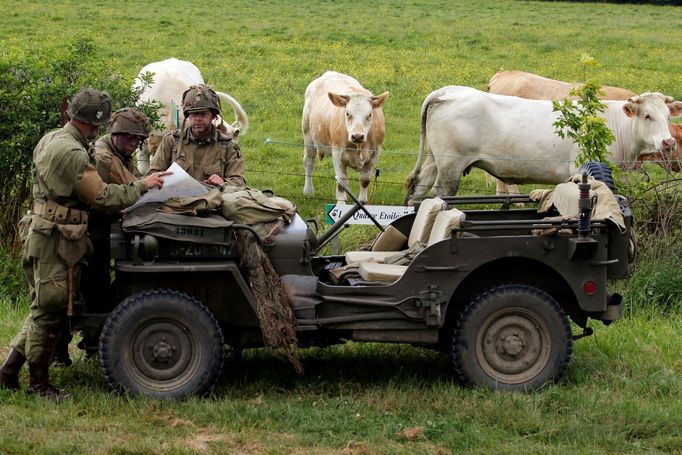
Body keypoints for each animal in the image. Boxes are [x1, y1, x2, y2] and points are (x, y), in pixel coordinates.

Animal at [300, 71, 386, 203]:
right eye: (347, 113)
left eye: (370, 114)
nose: (357, 136)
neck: (360, 147)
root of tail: (329, 72)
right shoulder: (337, 153)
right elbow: (342, 182)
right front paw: (341, 204)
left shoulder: (374, 153)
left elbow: (365, 181)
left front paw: (362, 202)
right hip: (308, 135)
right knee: (309, 162)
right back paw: (308, 191)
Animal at [406, 86, 676, 204]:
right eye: (647, 116)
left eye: (667, 115)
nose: (669, 141)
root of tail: (447, 91)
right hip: (450, 168)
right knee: (439, 195)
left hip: (433, 161)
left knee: (416, 190)